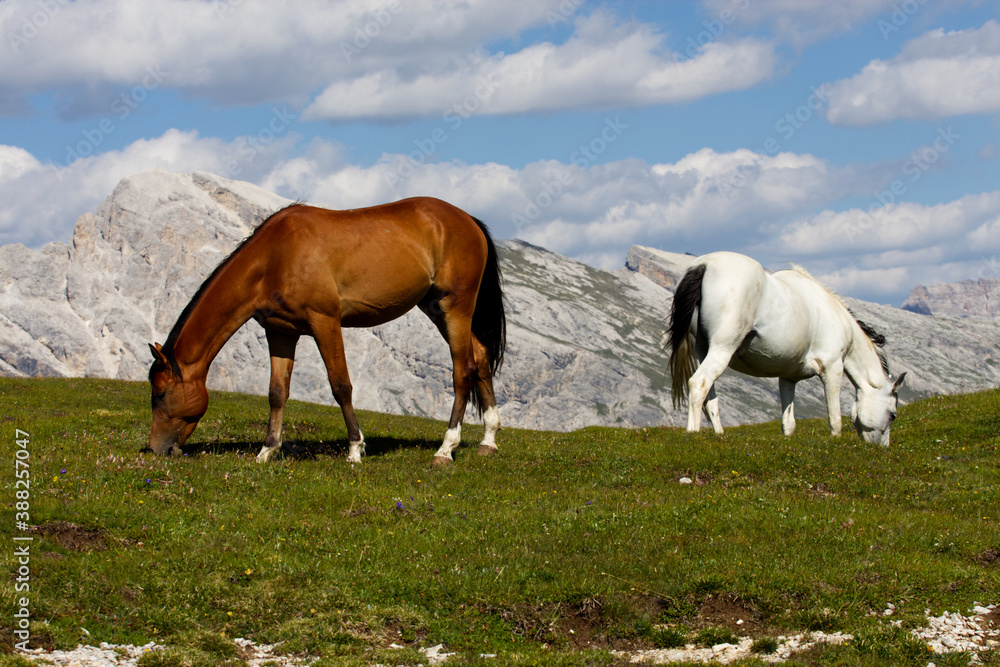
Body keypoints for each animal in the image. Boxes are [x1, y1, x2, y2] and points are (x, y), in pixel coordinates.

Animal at [148, 197, 506, 466]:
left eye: (160, 394)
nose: (155, 449)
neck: (276, 255)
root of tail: (467, 220)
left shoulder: (325, 322)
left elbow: (341, 386)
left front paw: (355, 449)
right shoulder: (280, 333)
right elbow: (277, 392)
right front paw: (266, 451)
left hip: (455, 307)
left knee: (462, 371)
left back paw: (446, 449)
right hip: (436, 309)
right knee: (480, 359)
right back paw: (488, 441)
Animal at [667, 251, 905, 445]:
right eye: (893, 414)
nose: (881, 447)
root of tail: (704, 265)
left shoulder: (788, 378)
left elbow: (788, 422)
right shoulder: (832, 368)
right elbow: (835, 418)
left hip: (703, 350)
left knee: (710, 398)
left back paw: (719, 434)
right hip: (722, 349)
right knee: (698, 384)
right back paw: (693, 432)